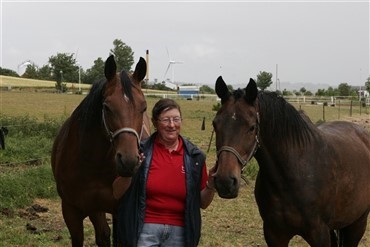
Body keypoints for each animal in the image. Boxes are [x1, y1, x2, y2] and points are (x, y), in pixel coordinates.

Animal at [50, 56, 149, 247]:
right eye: (107, 107)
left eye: (143, 107)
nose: (128, 161)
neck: (93, 163)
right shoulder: (71, 210)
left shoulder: (120, 211)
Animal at [212, 76, 368, 246]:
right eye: (215, 124)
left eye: (252, 127)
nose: (225, 182)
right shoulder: (274, 234)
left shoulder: (320, 234)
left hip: (358, 223)